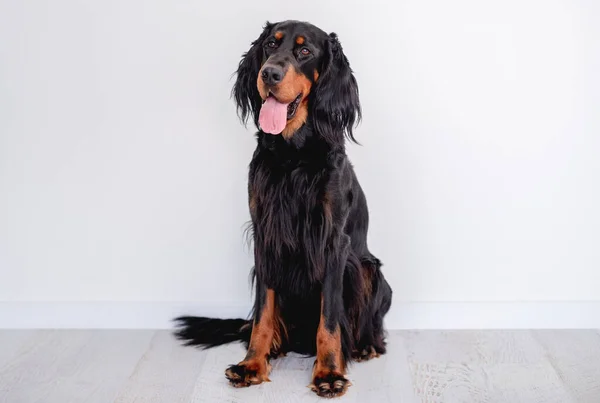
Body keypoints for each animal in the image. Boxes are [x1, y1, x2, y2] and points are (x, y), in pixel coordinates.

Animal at [172, 20, 394, 400]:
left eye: (305, 51)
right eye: (269, 46)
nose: (269, 73)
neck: (294, 156)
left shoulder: (333, 241)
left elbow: (330, 319)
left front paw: (329, 372)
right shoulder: (266, 235)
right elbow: (263, 313)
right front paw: (252, 364)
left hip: (369, 271)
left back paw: (365, 345)